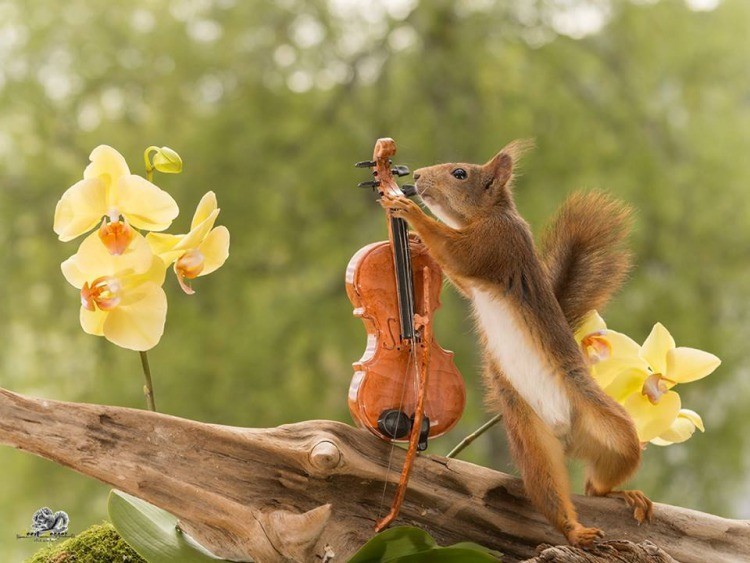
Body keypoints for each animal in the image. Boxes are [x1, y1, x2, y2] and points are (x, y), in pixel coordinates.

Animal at [382, 140, 652, 548]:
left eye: (460, 173)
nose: (416, 176)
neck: (486, 216)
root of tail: (568, 437)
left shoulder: (496, 244)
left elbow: (456, 253)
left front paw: (409, 212)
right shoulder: (473, 277)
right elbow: (457, 274)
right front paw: (413, 238)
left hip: (614, 430)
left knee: (601, 481)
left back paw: (621, 497)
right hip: (531, 438)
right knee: (555, 489)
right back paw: (575, 527)